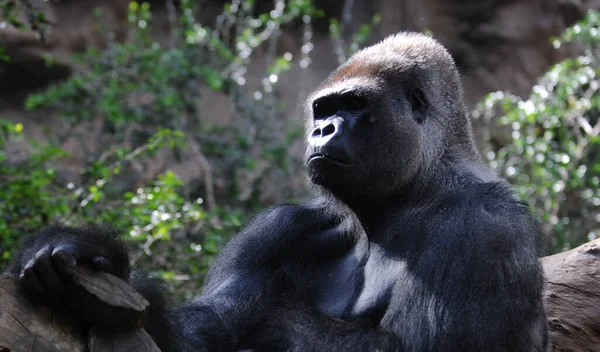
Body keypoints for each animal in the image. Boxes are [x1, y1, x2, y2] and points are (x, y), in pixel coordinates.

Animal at [4, 31, 548, 350]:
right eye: (323, 108)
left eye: (354, 105)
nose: (323, 130)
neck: (417, 188)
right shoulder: (281, 227)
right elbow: (202, 332)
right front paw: (97, 257)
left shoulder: (481, 227)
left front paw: (274, 325)